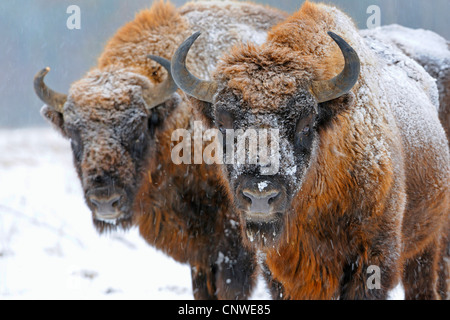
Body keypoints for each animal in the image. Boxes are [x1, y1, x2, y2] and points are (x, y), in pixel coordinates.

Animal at [171, 1, 448, 298]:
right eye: (223, 122)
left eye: (306, 122)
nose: (260, 195)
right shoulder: (278, 270)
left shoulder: (373, 260)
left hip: (428, 244)